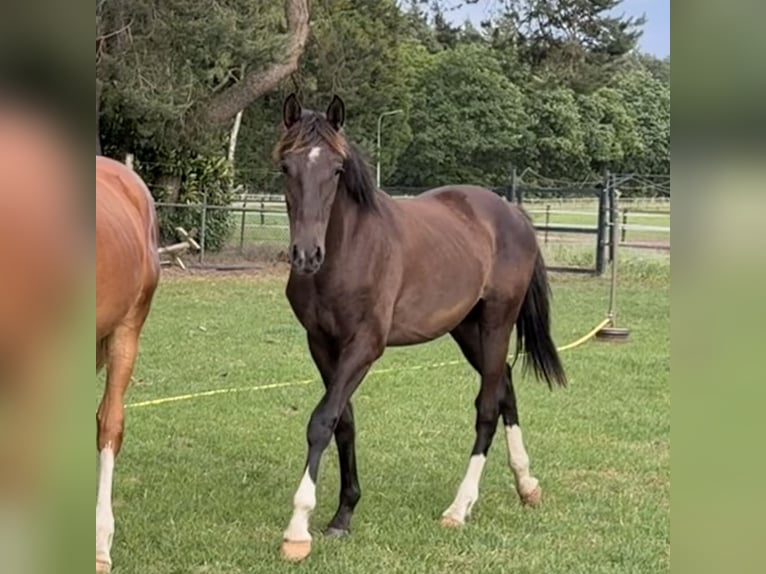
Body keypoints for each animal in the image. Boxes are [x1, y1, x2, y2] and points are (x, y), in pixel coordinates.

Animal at [273, 94, 567, 561]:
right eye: (286, 166)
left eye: (336, 169)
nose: (306, 254)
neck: (350, 251)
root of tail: (511, 212)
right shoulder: (321, 344)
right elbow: (343, 421)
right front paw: (343, 515)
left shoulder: (365, 345)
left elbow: (322, 420)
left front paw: (298, 529)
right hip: (467, 330)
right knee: (505, 389)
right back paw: (527, 486)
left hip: (497, 321)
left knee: (488, 407)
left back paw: (459, 508)